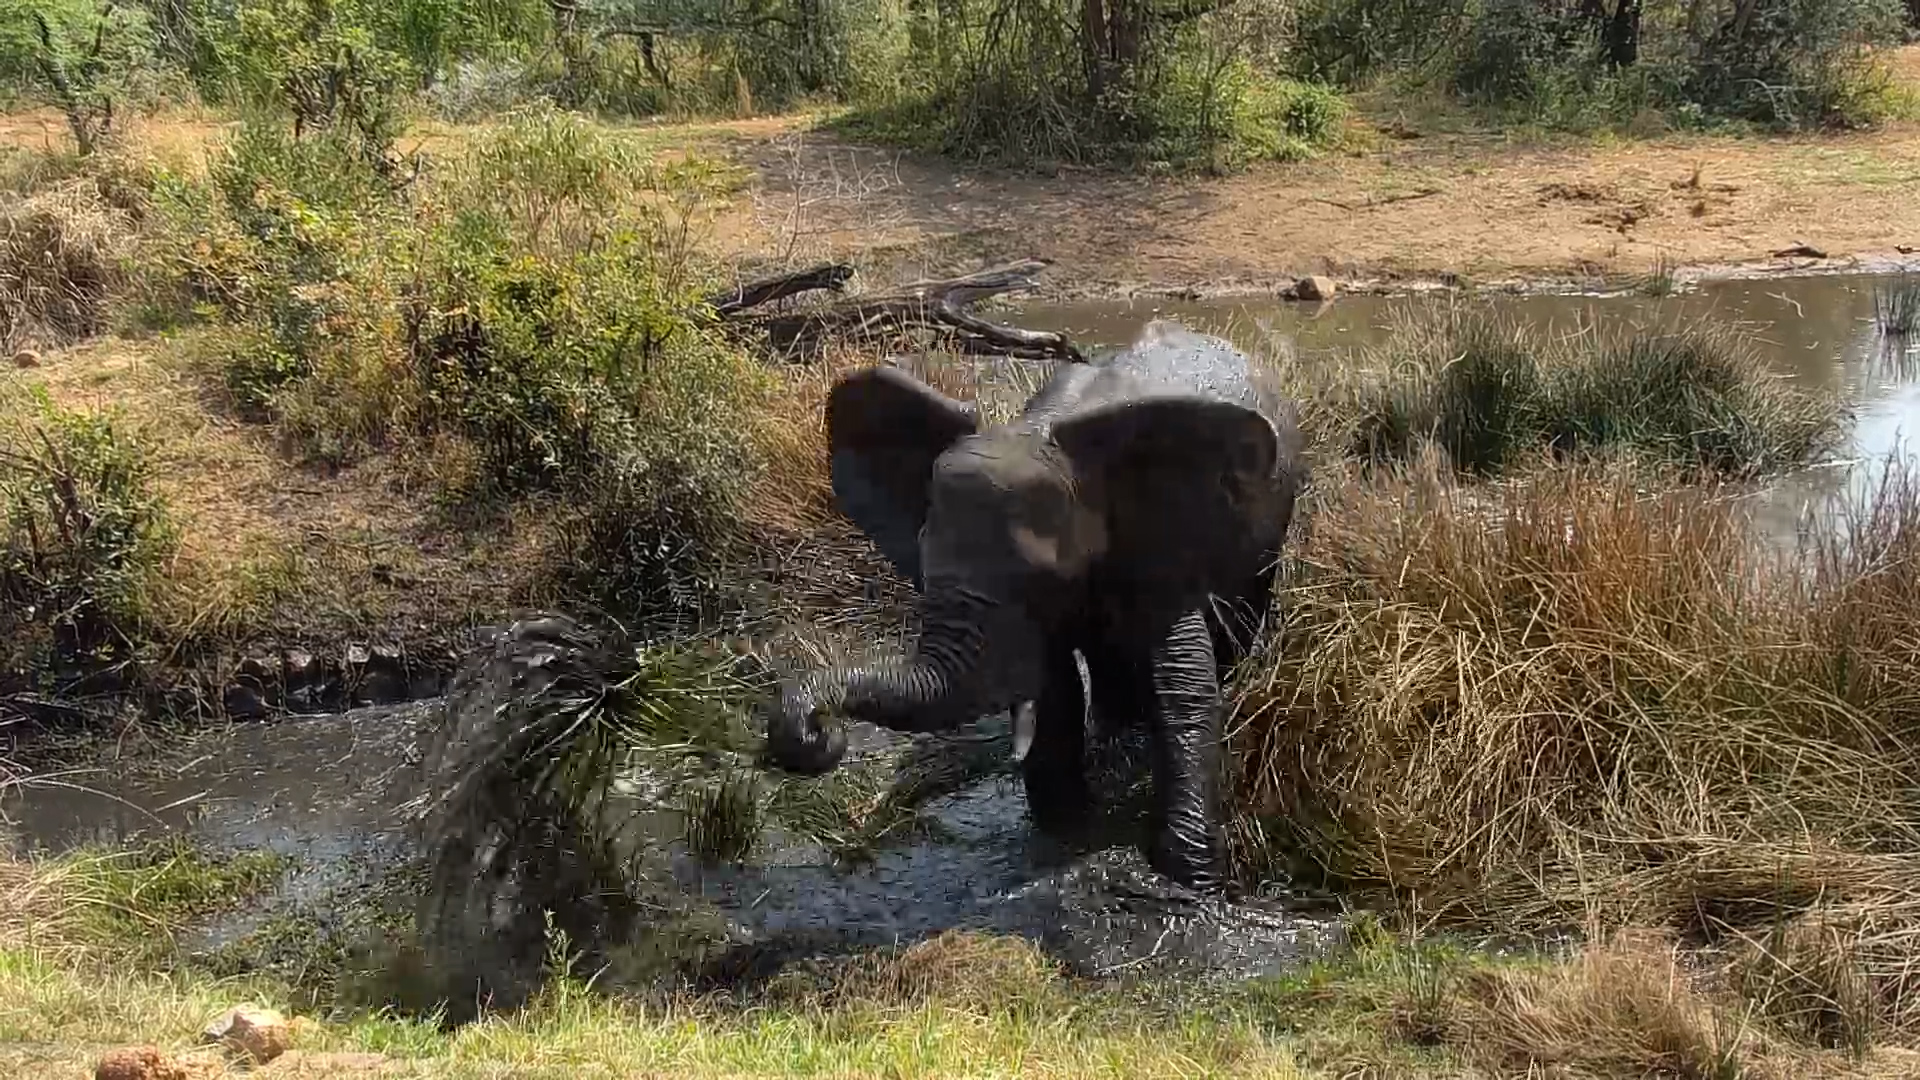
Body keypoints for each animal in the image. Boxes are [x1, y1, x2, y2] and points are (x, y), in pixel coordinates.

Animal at [765, 320, 1306, 892]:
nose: (818, 731)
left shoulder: (1159, 539)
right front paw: (1063, 833)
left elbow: (1182, 682)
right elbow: (1056, 690)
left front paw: (1188, 879)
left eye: (1040, 577)